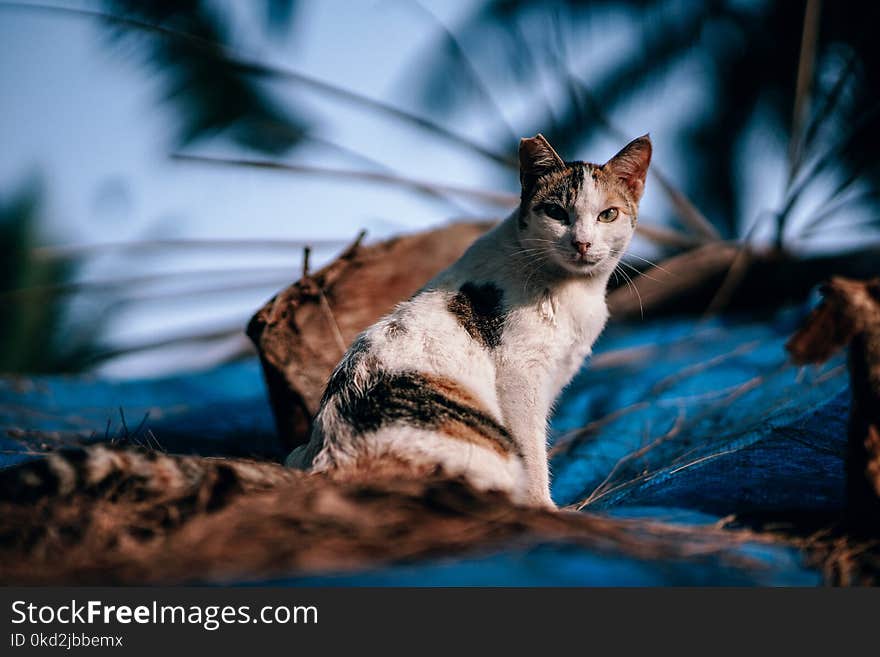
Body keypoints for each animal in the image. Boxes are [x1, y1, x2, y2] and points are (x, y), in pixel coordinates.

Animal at [286, 133, 648, 508]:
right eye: (556, 212)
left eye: (608, 214)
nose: (582, 243)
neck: (575, 289)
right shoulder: (520, 377)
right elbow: (533, 449)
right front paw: (545, 506)